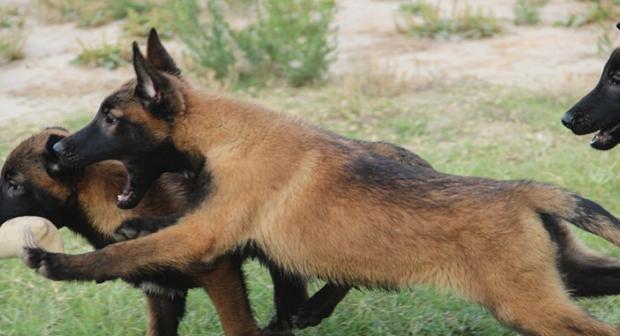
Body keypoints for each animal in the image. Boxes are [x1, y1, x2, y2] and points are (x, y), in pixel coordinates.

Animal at [29, 29, 620, 336]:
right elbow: (159, 229)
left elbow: (122, 254)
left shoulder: (205, 236)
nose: (58, 149)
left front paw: (57, 262)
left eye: (109, 117)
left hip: (532, 307)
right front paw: (136, 227)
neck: (228, 135)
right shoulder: (215, 224)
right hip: (568, 278)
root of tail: (525, 190)